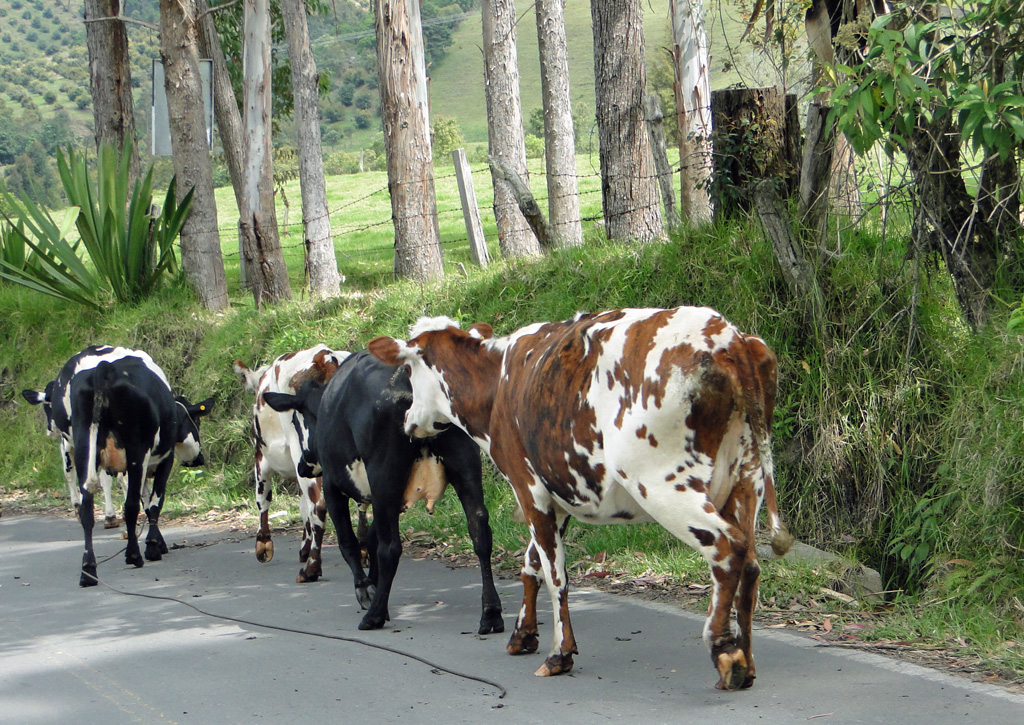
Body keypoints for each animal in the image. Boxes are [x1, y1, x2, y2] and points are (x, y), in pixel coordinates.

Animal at [24, 346, 212, 589]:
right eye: (196, 423)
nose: (199, 459)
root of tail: (104, 369)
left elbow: (144, 499)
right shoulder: (163, 459)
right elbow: (153, 501)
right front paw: (154, 546)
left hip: (84, 446)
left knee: (87, 506)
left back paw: (88, 570)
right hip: (135, 448)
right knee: (130, 504)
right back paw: (133, 555)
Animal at [235, 346, 352, 581]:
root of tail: (325, 356)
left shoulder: (261, 456)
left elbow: (262, 498)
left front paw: (263, 544)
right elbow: (302, 506)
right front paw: (304, 547)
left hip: (304, 452)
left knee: (319, 506)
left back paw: (312, 569)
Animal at [264, 348, 503, 630]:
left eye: (297, 420)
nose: (302, 465)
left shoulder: (335, 486)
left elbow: (349, 541)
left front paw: (364, 589)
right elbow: (371, 536)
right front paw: (373, 582)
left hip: (383, 471)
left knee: (391, 548)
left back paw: (375, 614)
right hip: (465, 463)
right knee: (480, 531)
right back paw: (491, 613)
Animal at [368, 307, 790, 692]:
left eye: (408, 372)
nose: (407, 419)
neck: (497, 385)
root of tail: (728, 337)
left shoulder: (528, 487)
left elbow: (555, 574)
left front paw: (559, 653)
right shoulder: (560, 493)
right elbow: (531, 565)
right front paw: (523, 634)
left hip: (662, 483)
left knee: (727, 547)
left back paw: (725, 653)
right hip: (746, 479)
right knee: (750, 564)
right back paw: (747, 661)